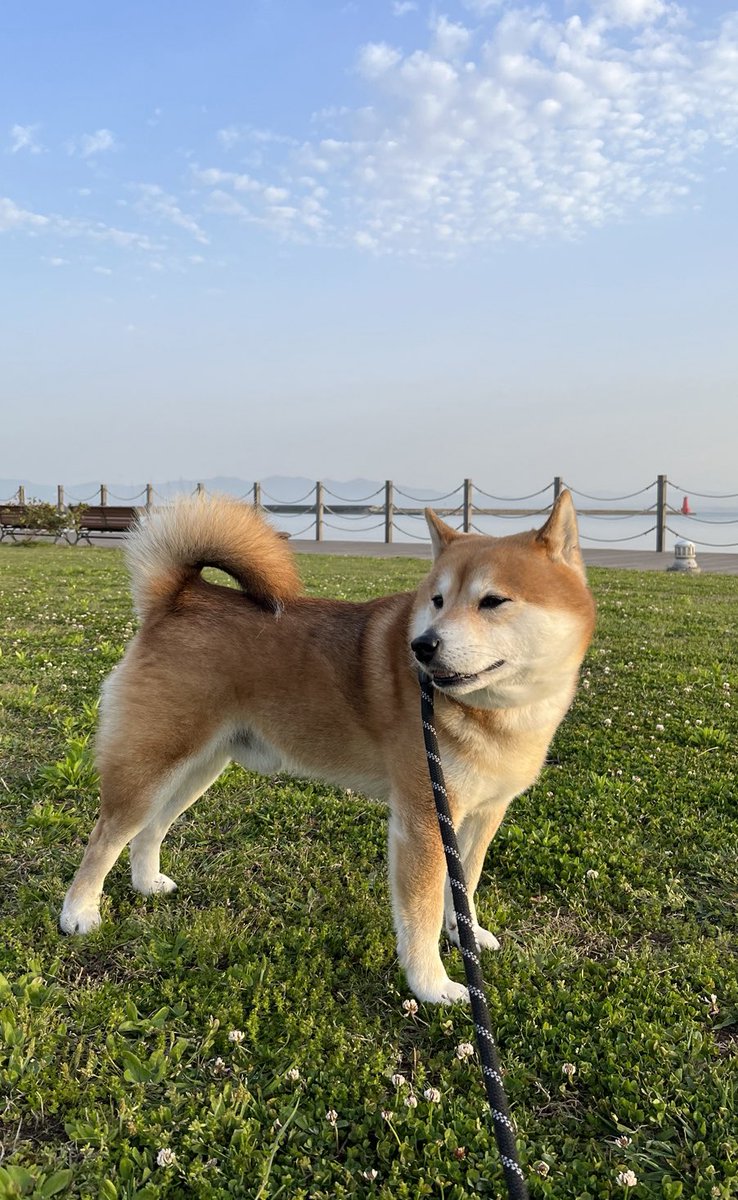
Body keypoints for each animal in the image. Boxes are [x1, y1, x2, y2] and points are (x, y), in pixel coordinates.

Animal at [60, 487, 597, 1003]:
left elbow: (463, 884)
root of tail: (181, 596)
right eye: (438, 600)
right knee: (106, 836)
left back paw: (146, 884)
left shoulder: (481, 814)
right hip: (152, 762)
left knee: (150, 830)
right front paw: (432, 985)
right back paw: (78, 912)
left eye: (493, 601)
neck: (498, 713)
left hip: (197, 767)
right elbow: (420, 913)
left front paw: (464, 933)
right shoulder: (424, 821)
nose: (422, 646)